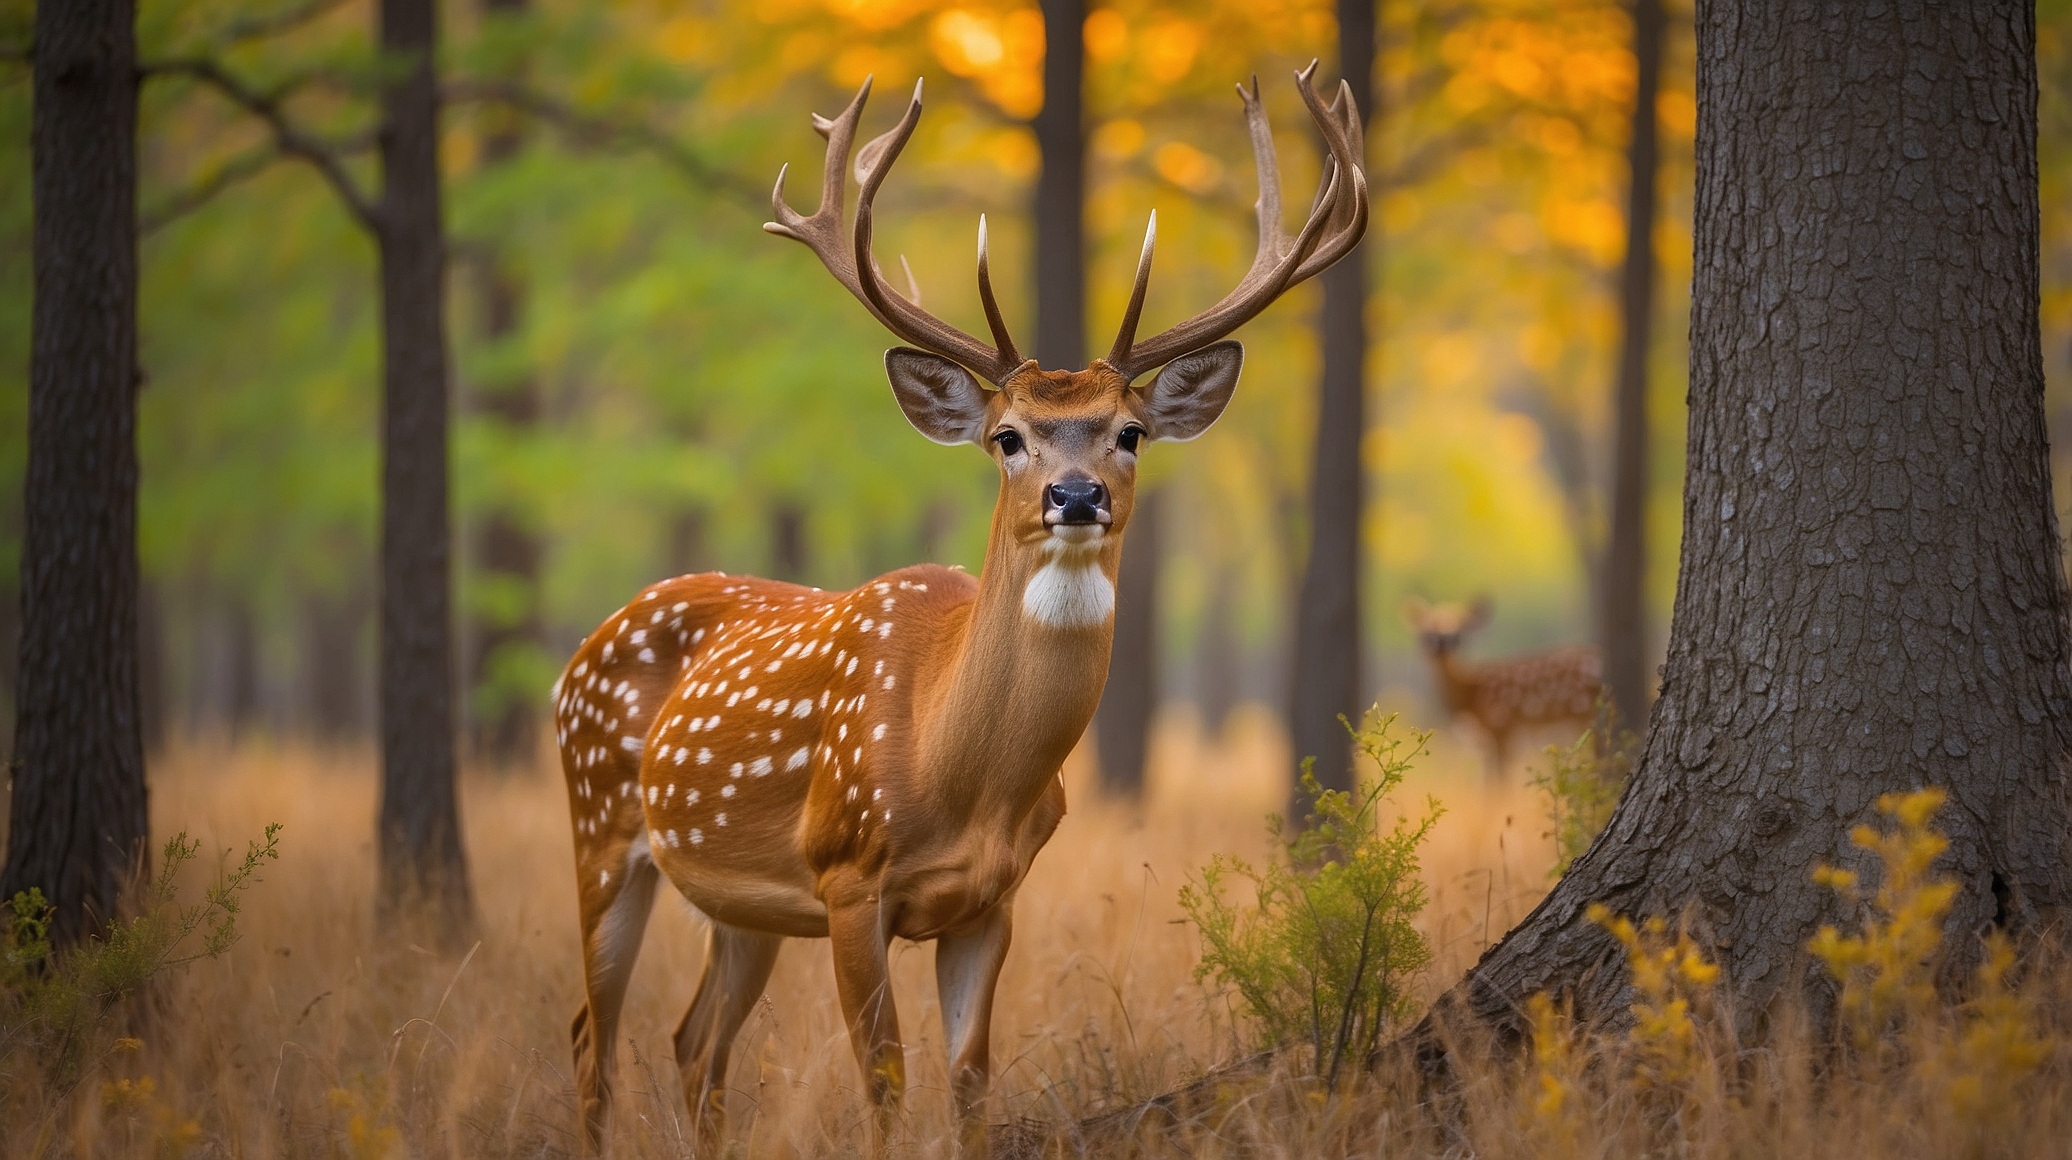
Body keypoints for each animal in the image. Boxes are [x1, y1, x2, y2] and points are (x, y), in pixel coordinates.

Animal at [551, 70, 1367, 1151]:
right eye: (1007, 435)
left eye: (1131, 432)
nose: (1075, 494)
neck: (959, 770)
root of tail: (587, 644)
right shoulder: (849, 874)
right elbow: (885, 1080)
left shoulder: (992, 899)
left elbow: (972, 1078)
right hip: (600, 822)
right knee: (590, 1039)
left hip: (738, 902)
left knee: (692, 1044)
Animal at [1408, 596, 1599, 778]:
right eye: (1426, 634)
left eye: (1458, 635)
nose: (1441, 646)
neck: (1472, 693)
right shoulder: (1489, 743)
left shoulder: (1502, 728)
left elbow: (1498, 782)